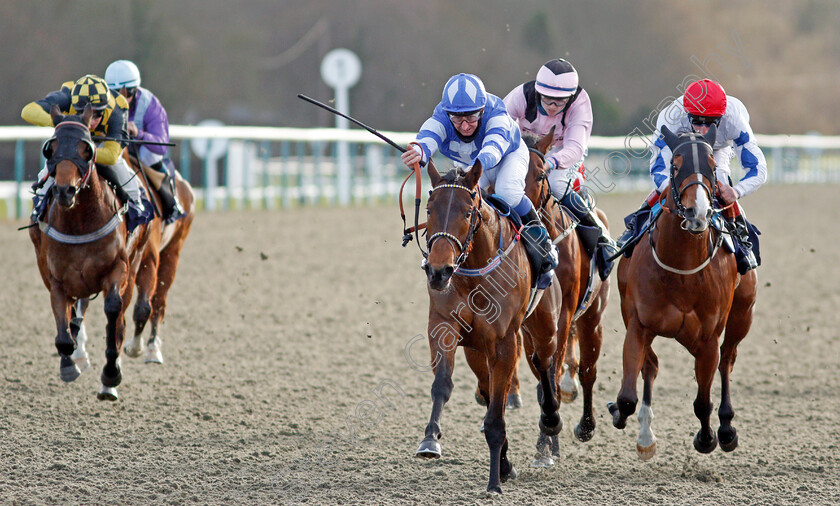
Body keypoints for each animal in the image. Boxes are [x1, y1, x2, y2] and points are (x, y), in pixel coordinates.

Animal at [416, 159, 564, 494]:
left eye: (467, 212)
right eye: (429, 209)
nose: (438, 271)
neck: (474, 273)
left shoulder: (505, 343)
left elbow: (497, 415)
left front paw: (494, 482)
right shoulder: (443, 326)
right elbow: (443, 385)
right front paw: (430, 439)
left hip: (545, 327)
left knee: (544, 365)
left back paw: (551, 420)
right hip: (476, 350)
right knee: (488, 389)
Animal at [608, 125, 756, 458]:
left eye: (712, 168)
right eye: (675, 166)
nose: (696, 212)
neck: (683, 270)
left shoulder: (709, 337)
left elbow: (703, 400)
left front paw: (707, 438)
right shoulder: (638, 324)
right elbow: (627, 395)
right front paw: (619, 413)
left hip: (742, 314)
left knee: (727, 360)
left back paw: (726, 428)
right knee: (651, 366)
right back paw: (645, 436)